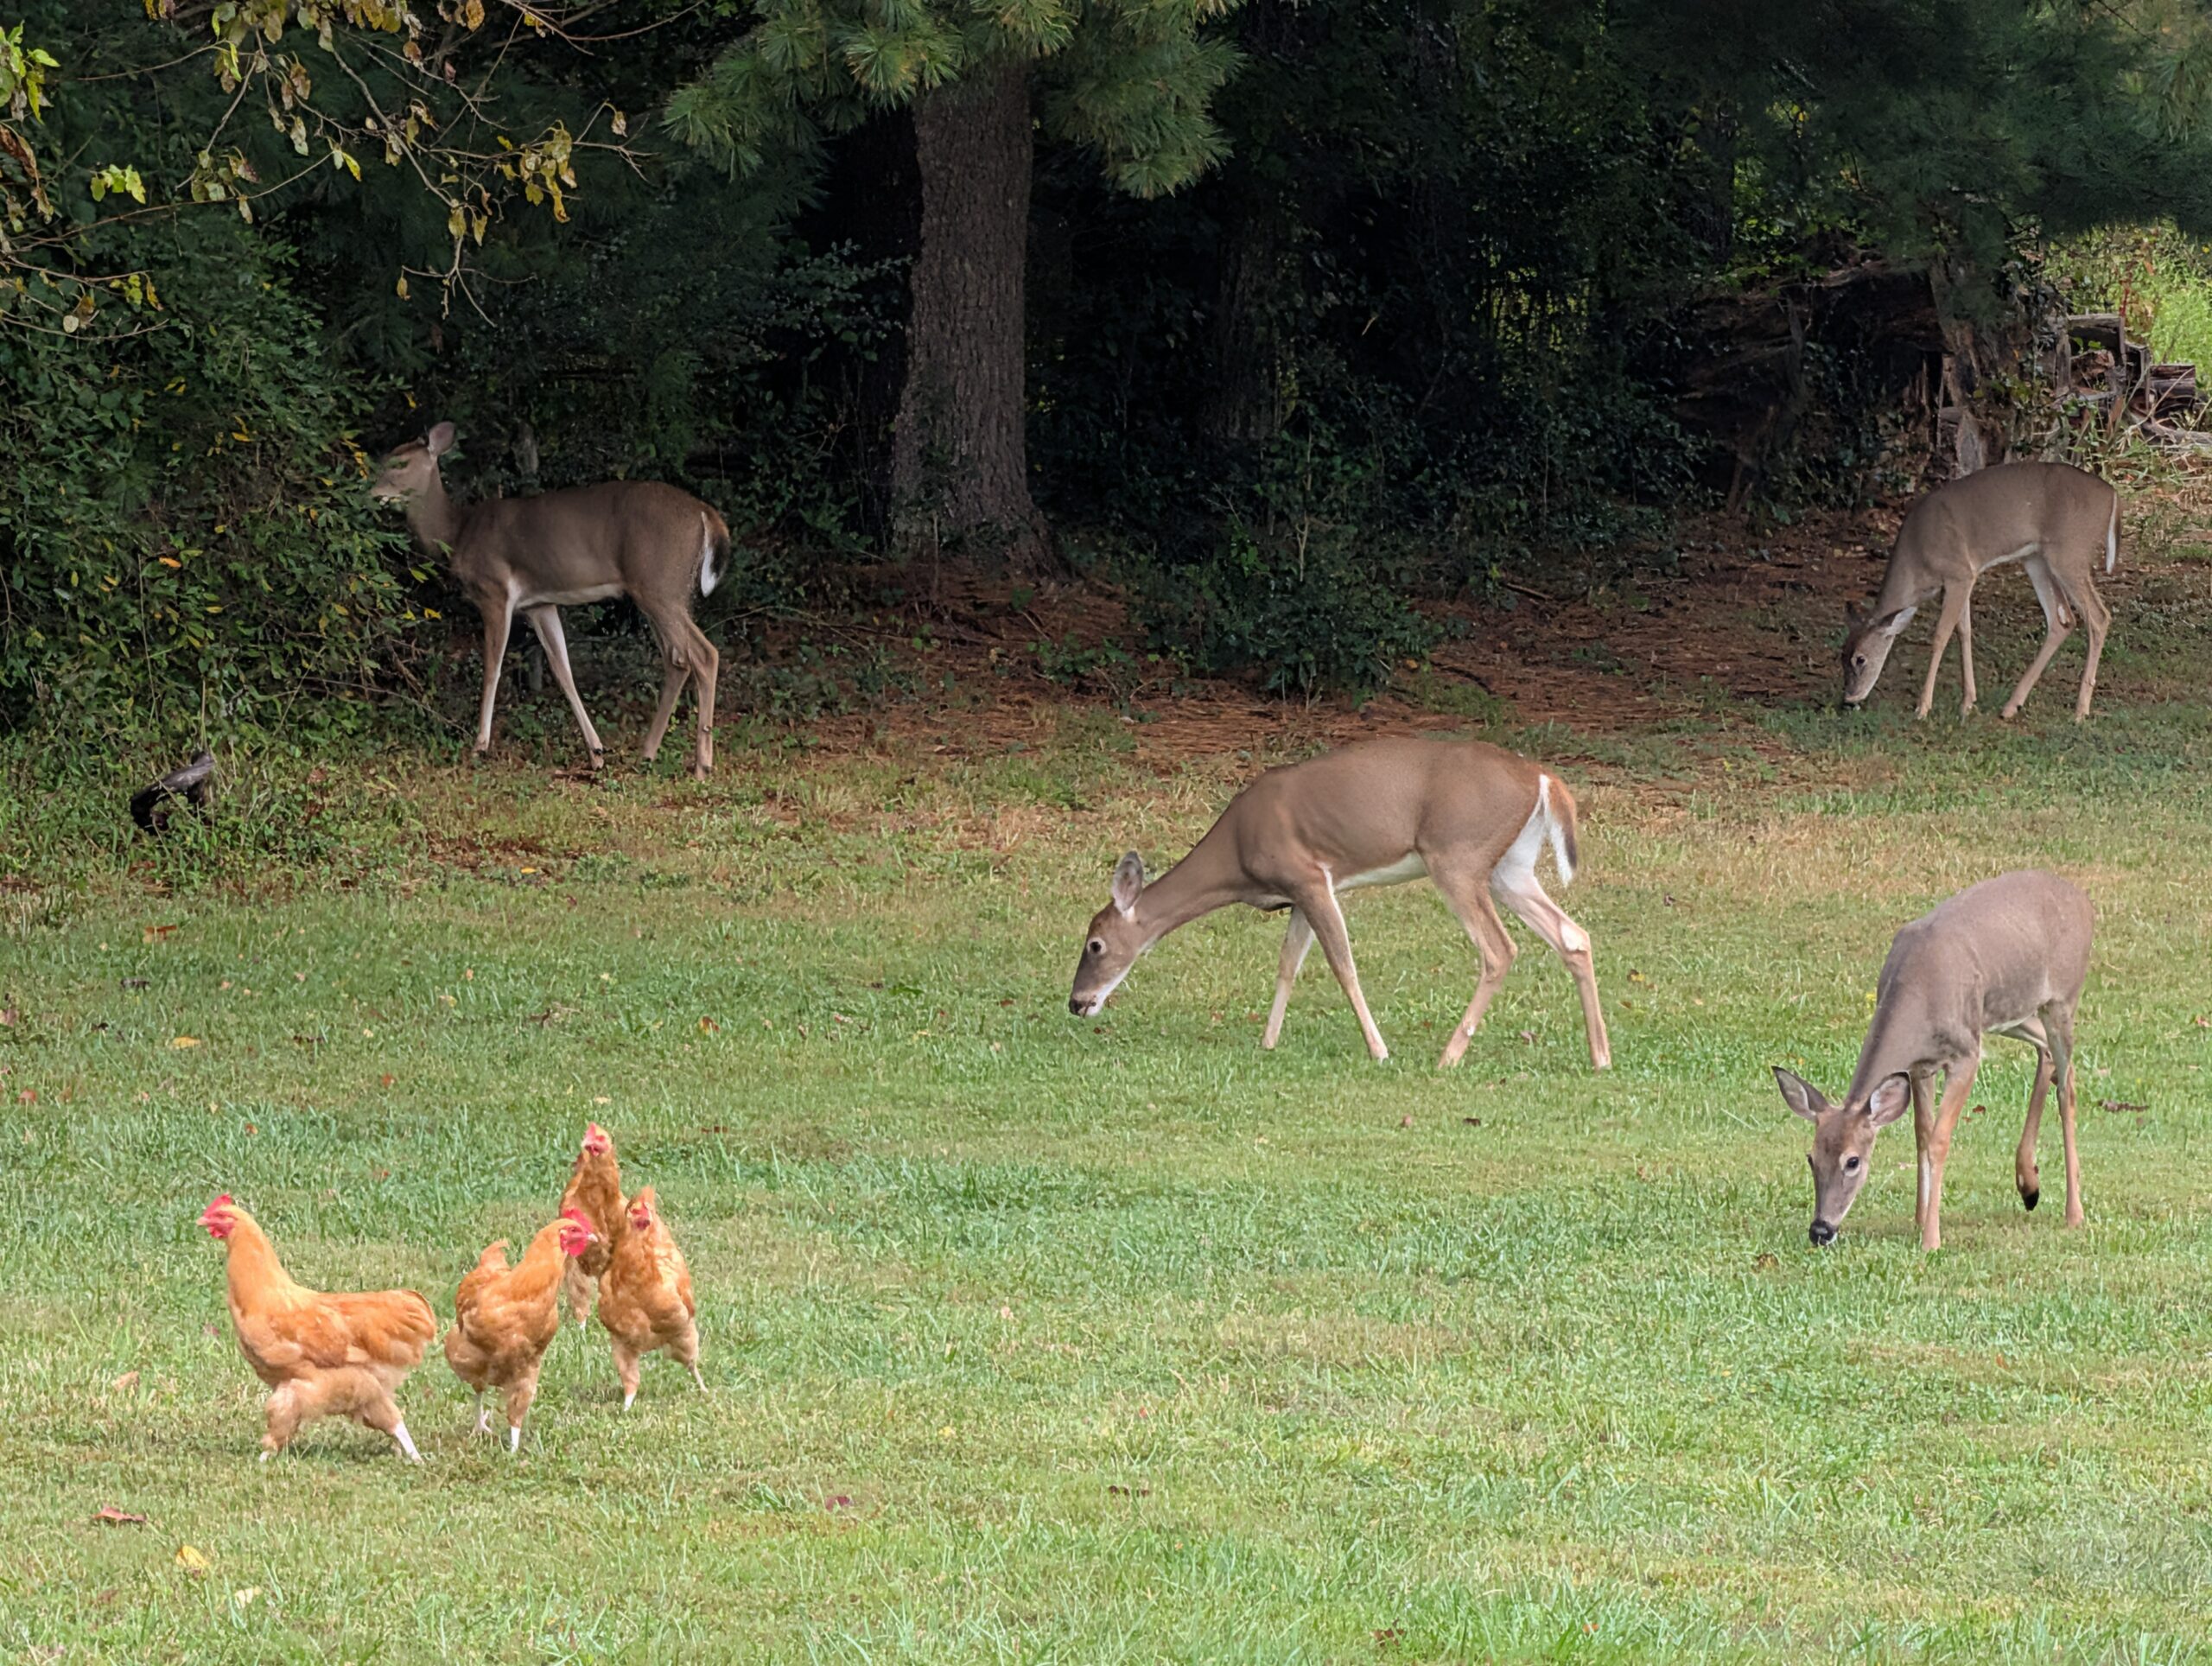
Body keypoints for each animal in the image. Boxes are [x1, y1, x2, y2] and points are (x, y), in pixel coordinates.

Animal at [372, 422, 726, 777]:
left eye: (399, 463)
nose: (371, 493)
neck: (457, 533)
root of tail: (708, 515)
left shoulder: (494, 591)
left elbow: (492, 668)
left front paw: (480, 746)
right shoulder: (539, 604)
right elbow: (561, 670)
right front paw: (596, 752)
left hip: (660, 585)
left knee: (703, 654)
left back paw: (702, 766)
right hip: (659, 591)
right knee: (677, 660)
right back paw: (648, 752)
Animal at [1068, 738, 1610, 1071]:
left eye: (1095, 944)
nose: (1076, 1004)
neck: (1237, 858)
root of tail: (1543, 779)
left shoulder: (1309, 877)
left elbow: (1342, 965)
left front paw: (1379, 1050)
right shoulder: (1300, 894)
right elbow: (1287, 964)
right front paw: (1267, 1042)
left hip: (1458, 855)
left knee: (1499, 950)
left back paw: (1448, 1055)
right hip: (1509, 866)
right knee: (1573, 934)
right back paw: (1600, 1056)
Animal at [1773, 869, 2092, 1253]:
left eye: (1853, 1161)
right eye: (1811, 1157)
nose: (1820, 1230)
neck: (1919, 996)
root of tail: (2082, 900)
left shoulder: (1965, 1055)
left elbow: (1940, 1139)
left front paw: (1931, 1238)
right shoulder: (1919, 1066)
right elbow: (1922, 1134)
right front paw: (1920, 1217)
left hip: (2062, 998)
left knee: (2067, 1088)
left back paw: (2074, 1213)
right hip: (2010, 1013)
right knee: (2046, 1052)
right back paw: (2029, 1184)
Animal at [1841, 460, 2118, 722]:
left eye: (1861, 659)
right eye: (1841, 655)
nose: (1849, 698)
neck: (1917, 563)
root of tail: (2113, 496)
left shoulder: (1958, 573)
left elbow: (1940, 636)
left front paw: (1923, 708)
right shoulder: (1961, 580)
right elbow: (1964, 631)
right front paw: (1967, 703)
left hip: (2069, 554)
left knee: (2099, 616)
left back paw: (2080, 711)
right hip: (2036, 558)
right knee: (2063, 620)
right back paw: (2011, 706)